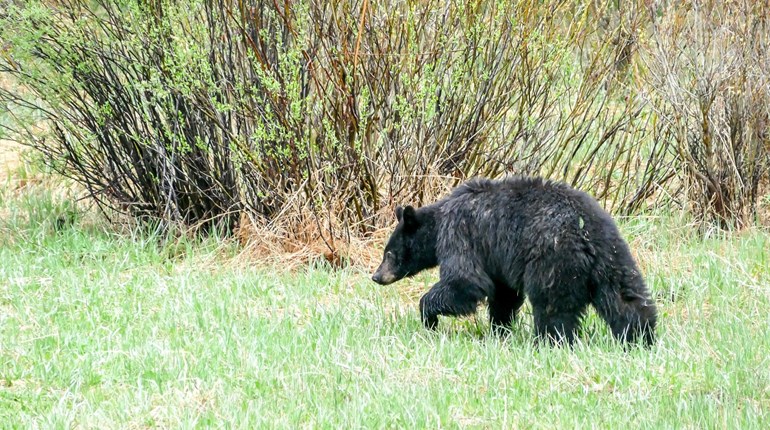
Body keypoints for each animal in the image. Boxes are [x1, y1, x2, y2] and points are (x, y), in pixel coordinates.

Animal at [371, 176, 657, 346]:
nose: (376, 276)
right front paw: (499, 329)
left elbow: (466, 281)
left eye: (388, 253)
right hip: (613, 256)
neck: (439, 220)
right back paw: (641, 337)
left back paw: (549, 342)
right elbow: (503, 294)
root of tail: (584, 233)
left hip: (553, 261)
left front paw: (429, 317)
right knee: (626, 299)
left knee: (552, 308)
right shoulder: (496, 258)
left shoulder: (460, 233)